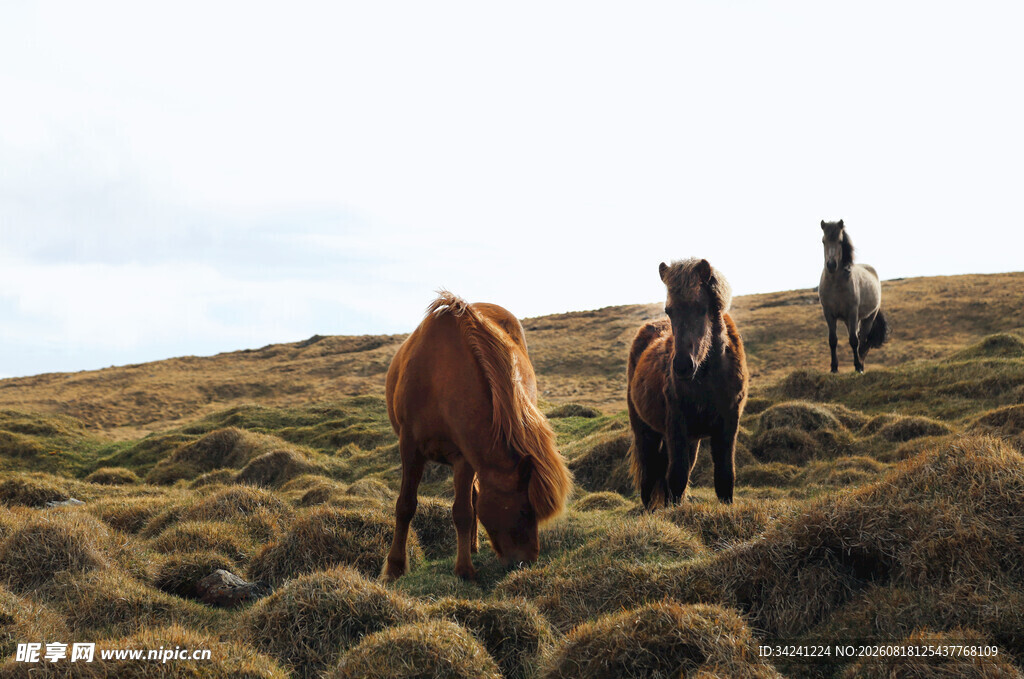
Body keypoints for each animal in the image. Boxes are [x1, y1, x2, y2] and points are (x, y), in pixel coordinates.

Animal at [383, 291, 571, 581]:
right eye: (525, 509)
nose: (528, 561)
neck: (439, 377)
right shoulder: (410, 448)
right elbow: (405, 506)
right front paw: (395, 567)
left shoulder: (464, 456)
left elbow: (463, 511)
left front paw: (464, 569)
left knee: (471, 499)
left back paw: (471, 547)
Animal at [626, 258, 748, 508]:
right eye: (669, 311)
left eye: (701, 308)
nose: (682, 366)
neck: (708, 379)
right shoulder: (677, 426)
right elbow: (677, 477)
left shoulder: (728, 425)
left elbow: (724, 477)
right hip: (646, 430)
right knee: (649, 476)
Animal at [818, 219, 890, 373]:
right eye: (823, 241)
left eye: (840, 241)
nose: (831, 265)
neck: (835, 284)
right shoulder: (828, 313)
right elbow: (832, 340)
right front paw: (834, 368)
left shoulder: (852, 312)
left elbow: (854, 341)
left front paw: (857, 366)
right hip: (848, 320)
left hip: (868, 318)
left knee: (862, 341)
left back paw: (861, 365)